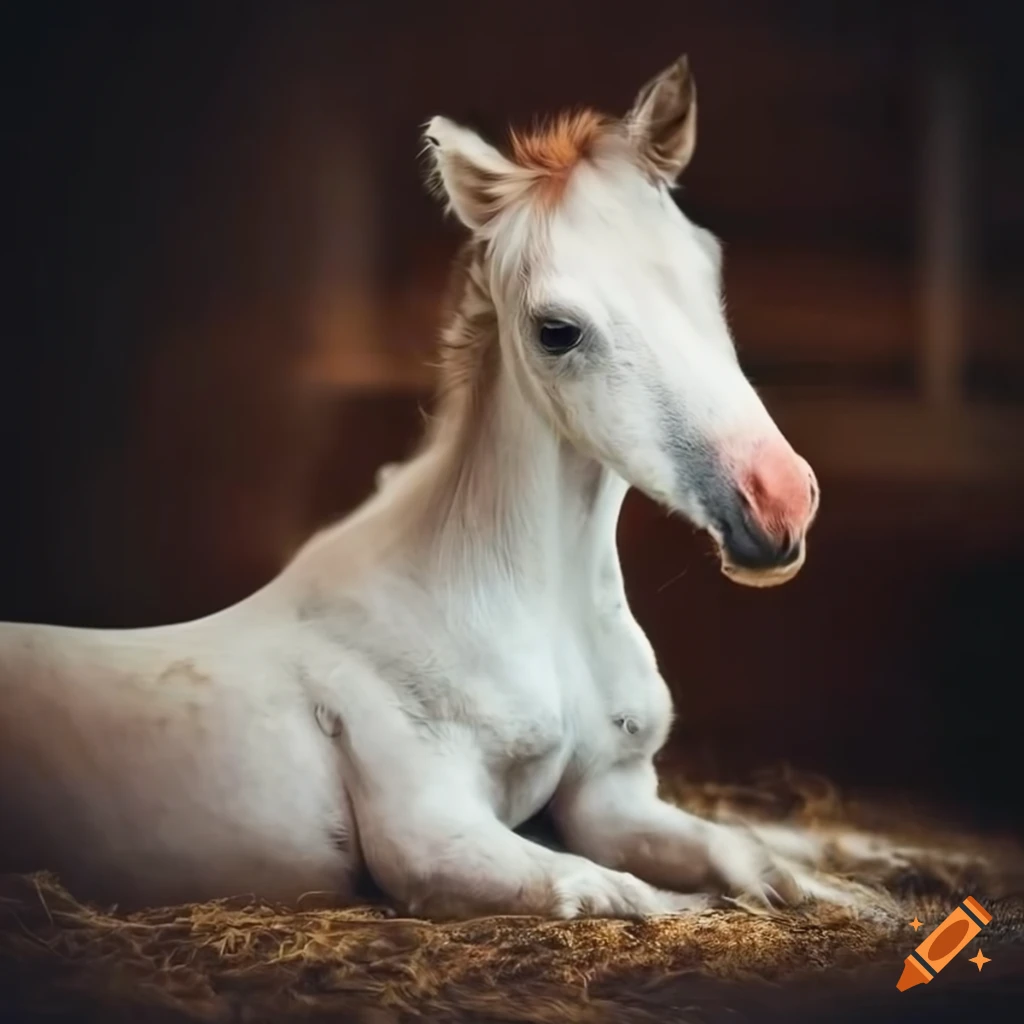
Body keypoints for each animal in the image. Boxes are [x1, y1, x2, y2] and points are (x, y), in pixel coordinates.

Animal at [1, 57, 870, 917]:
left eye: (707, 270)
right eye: (556, 331)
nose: (776, 500)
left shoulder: (611, 796)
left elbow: (739, 852)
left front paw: (868, 899)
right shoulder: (434, 835)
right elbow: (621, 893)